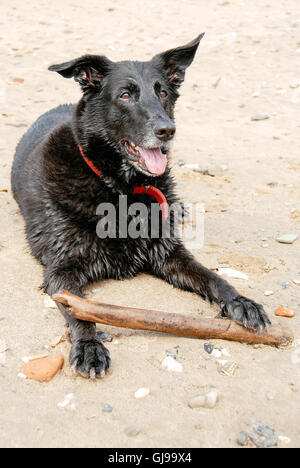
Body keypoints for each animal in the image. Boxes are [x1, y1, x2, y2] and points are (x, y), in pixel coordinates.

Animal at [11, 34, 270, 378]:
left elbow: (212, 277)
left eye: (162, 92)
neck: (121, 188)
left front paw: (241, 301)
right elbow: (81, 313)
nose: (167, 130)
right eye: (125, 95)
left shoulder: (168, 252)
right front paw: (90, 346)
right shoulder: (62, 269)